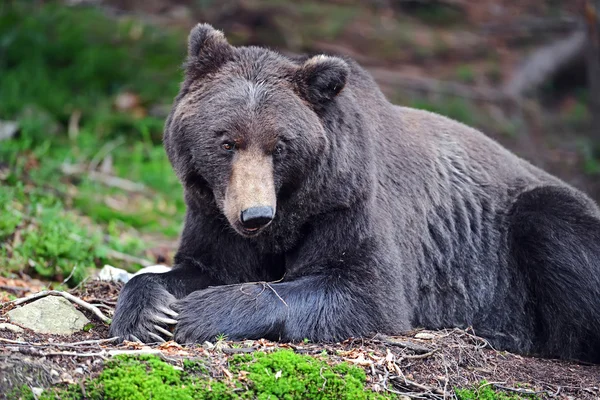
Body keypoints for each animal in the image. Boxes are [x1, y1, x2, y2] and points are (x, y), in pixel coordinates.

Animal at [110, 23, 600, 364]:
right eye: (226, 141)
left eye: (280, 145)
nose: (255, 214)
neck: (291, 214)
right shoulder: (213, 215)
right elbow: (199, 265)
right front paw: (150, 312)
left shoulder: (348, 204)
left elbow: (366, 291)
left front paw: (202, 312)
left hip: (524, 228)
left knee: (550, 222)